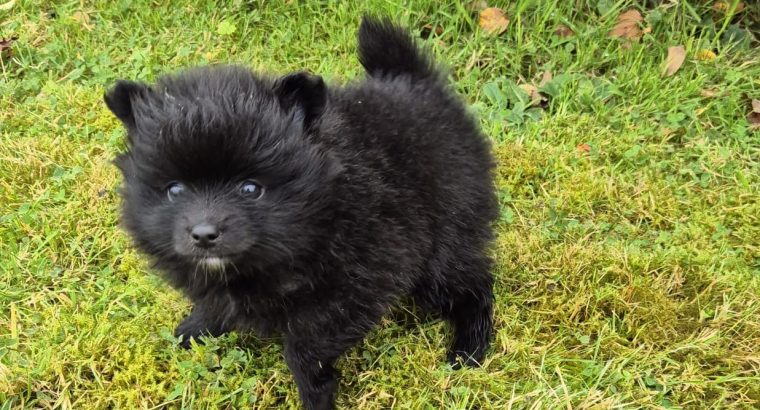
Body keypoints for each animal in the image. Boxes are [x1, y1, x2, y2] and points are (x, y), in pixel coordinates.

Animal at [105, 16, 498, 410]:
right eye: (175, 190)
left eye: (250, 189)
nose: (203, 233)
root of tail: (416, 82)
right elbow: (217, 303)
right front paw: (195, 329)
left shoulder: (360, 282)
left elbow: (305, 350)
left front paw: (315, 394)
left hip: (441, 247)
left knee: (473, 285)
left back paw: (469, 347)